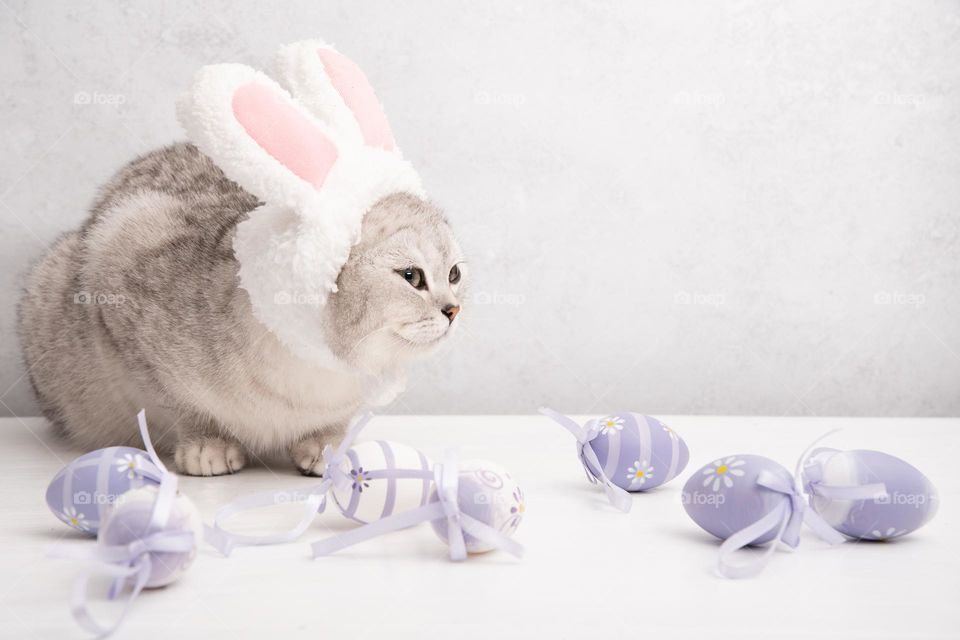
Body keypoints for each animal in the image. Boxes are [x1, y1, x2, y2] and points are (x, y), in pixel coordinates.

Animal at [18, 39, 467, 476]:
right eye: (412, 276)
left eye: (454, 274)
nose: (453, 310)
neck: (312, 373)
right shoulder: (120, 278)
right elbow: (181, 406)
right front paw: (206, 445)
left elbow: (334, 425)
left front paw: (326, 448)